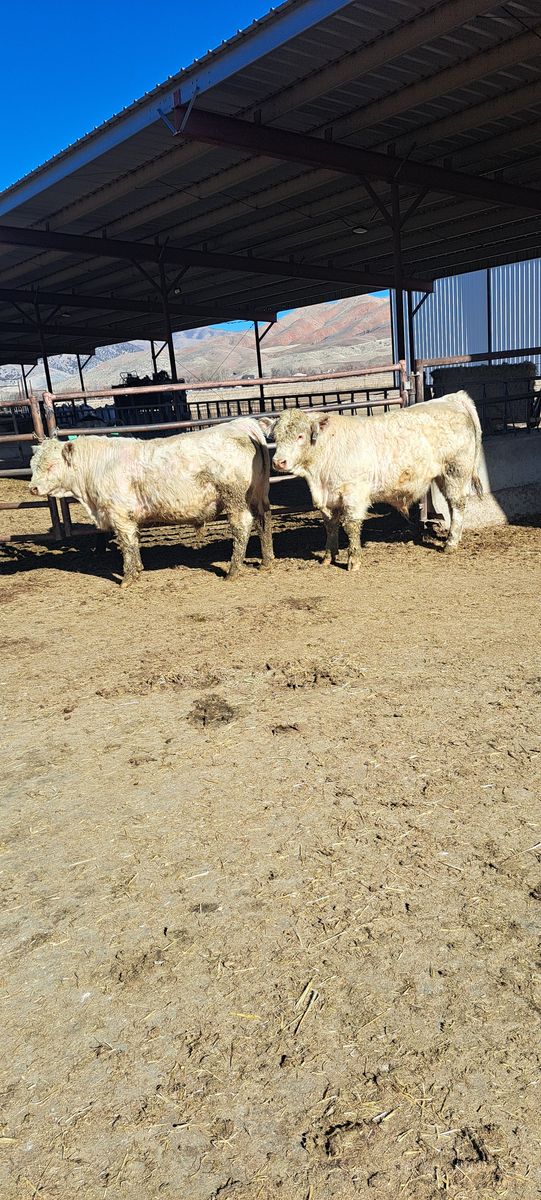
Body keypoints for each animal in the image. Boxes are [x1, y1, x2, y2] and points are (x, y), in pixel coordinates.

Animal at [29, 418, 274, 586]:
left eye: (51, 465)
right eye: (33, 464)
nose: (32, 487)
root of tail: (242, 425)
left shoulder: (119, 515)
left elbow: (127, 544)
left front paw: (127, 579)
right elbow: (134, 542)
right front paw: (138, 569)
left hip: (235, 499)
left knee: (242, 527)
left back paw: (233, 571)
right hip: (259, 496)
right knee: (263, 520)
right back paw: (266, 562)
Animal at [261, 391, 482, 570]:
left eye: (300, 436)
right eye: (275, 438)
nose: (279, 462)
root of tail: (452, 398)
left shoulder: (353, 493)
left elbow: (351, 525)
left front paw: (353, 560)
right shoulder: (328, 498)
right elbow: (330, 525)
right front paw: (328, 556)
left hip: (456, 470)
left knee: (457, 503)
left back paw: (450, 543)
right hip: (444, 475)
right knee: (452, 506)